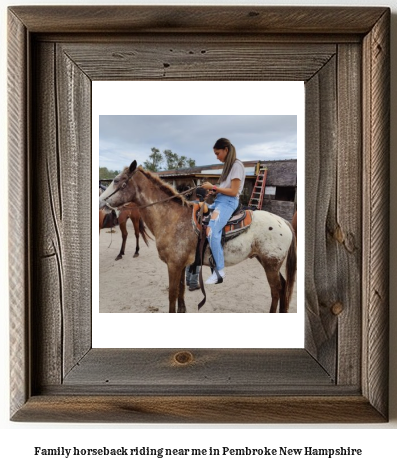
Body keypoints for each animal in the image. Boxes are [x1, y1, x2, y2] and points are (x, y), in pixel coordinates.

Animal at [100, 161, 296, 314]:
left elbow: (172, 295)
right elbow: (180, 292)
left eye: (116, 181)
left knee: (276, 290)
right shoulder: (181, 264)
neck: (171, 218)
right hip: (267, 261)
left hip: (270, 263)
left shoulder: (173, 265)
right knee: (283, 287)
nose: (101, 202)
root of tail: (284, 222)